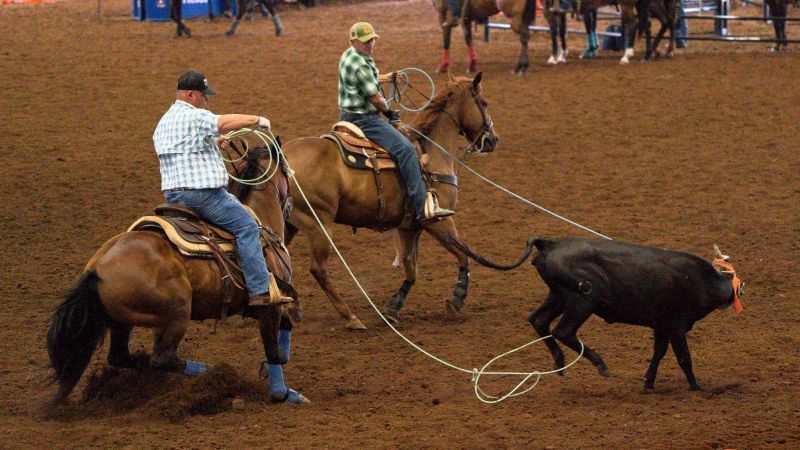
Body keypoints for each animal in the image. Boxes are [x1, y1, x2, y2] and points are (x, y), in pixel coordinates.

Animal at [449, 237, 745, 392]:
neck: (699, 280)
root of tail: (550, 244)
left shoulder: (660, 326)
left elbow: (659, 353)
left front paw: (648, 383)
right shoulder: (676, 325)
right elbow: (684, 357)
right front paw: (697, 387)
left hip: (558, 296)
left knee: (538, 319)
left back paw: (559, 361)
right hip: (581, 301)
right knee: (563, 331)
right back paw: (599, 364)